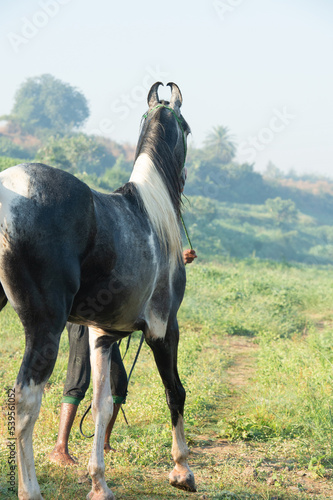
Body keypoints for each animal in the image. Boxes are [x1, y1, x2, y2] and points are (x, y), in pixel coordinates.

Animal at [0, 83, 195, 500]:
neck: (150, 213)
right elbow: (175, 392)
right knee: (25, 400)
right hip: (46, 326)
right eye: (186, 128)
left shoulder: (102, 335)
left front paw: (99, 483)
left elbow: (103, 404)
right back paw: (30, 489)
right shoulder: (164, 330)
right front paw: (182, 470)